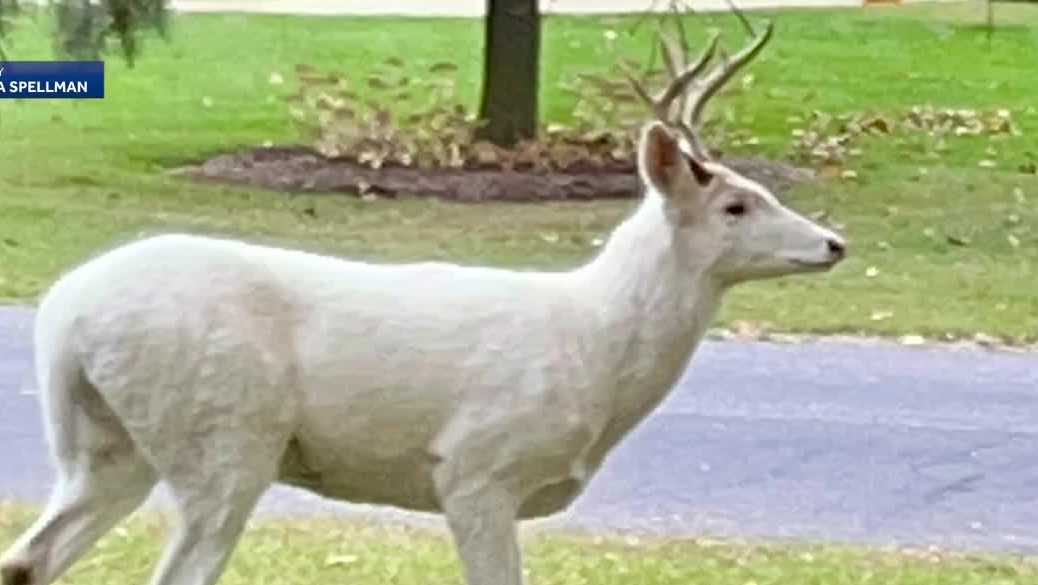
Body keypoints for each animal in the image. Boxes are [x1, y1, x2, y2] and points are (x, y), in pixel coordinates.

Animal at [1, 20, 845, 585]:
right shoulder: (477, 465)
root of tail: (63, 318)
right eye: (735, 204)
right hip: (222, 436)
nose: (835, 243)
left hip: (107, 446)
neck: (595, 348)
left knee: (29, 558)